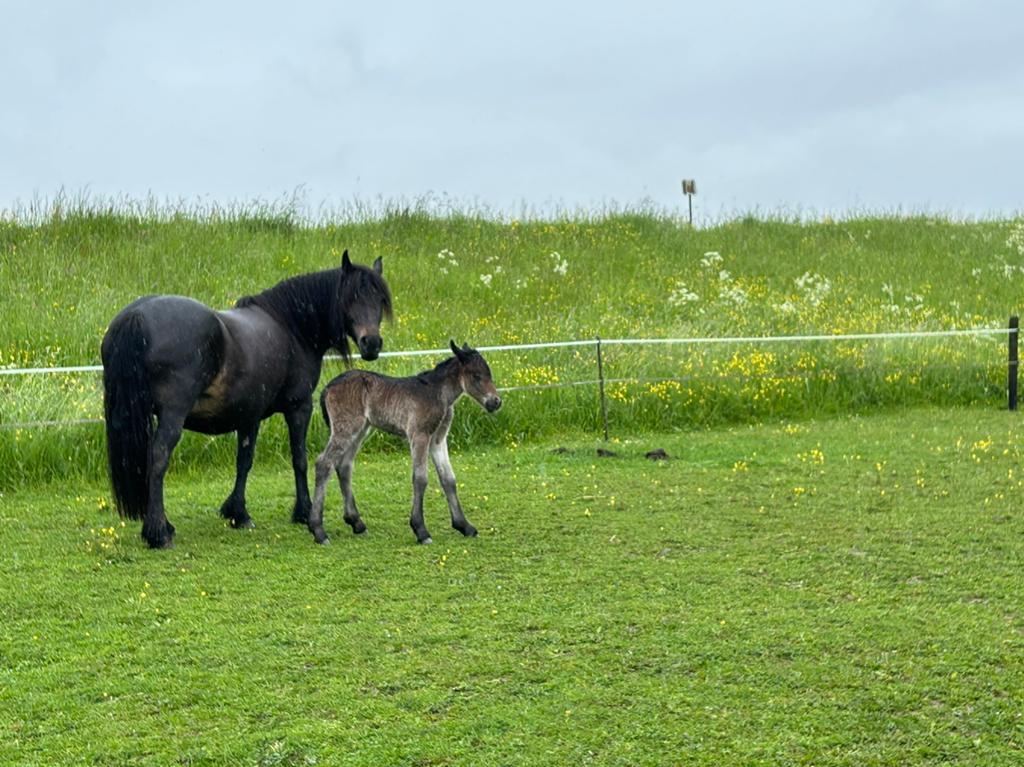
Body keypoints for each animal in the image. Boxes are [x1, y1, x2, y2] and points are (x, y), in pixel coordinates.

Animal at [101, 250, 392, 548]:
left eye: (380, 300)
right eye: (351, 296)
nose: (372, 343)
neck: (291, 327)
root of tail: (136, 315)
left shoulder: (249, 414)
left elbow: (244, 461)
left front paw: (237, 513)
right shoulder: (299, 406)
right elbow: (299, 458)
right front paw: (303, 511)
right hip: (172, 415)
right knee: (159, 459)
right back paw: (159, 533)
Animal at [308, 340, 502, 545]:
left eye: (489, 374)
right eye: (476, 376)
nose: (496, 402)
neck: (438, 394)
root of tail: (329, 386)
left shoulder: (438, 440)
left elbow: (448, 478)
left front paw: (464, 526)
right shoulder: (419, 435)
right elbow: (420, 478)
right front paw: (421, 530)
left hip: (360, 430)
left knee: (344, 466)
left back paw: (356, 522)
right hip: (346, 428)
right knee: (324, 464)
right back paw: (318, 531)